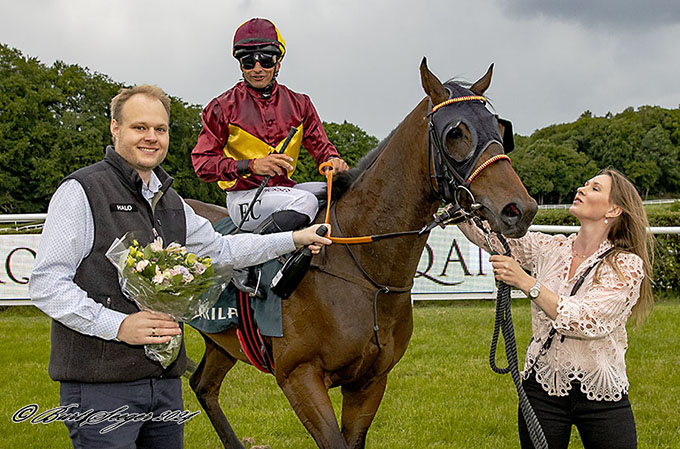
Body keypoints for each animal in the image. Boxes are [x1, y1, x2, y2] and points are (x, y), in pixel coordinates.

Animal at [186, 57, 536, 446]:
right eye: (456, 133)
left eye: (500, 127)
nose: (519, 209)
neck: (365, 272)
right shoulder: (299, 375)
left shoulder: (370, 381)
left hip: (221, 342)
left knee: (203, 386)